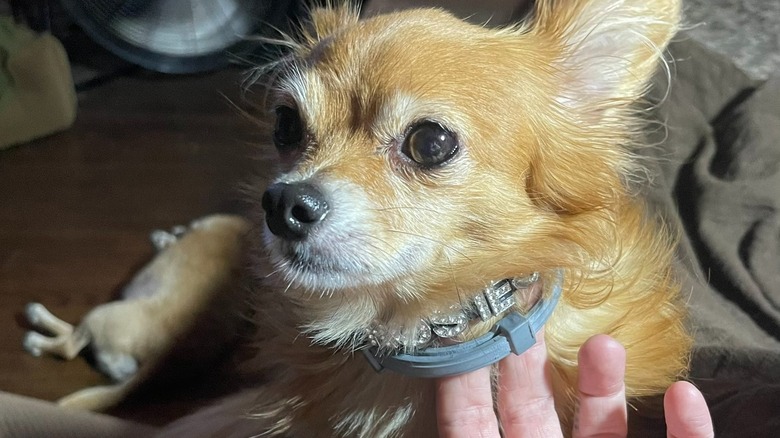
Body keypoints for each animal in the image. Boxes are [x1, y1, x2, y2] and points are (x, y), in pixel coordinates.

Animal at [24, 214, 250, 412]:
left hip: (103, 314)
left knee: (69, 347)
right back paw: (37, 318)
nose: (154, 234)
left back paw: (36, 335)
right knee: (74, 337)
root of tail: (164, 355)